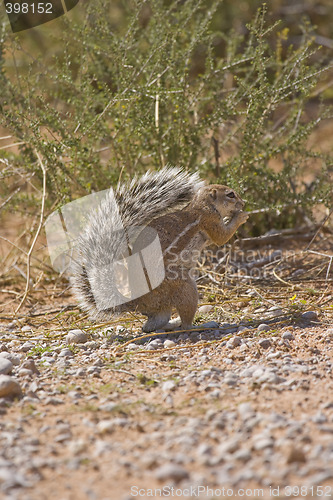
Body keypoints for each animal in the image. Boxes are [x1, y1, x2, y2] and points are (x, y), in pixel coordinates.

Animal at [71, 168, 248, 332]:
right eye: (230, 194)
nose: (243, 203)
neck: (201, 204)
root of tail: (137, 303)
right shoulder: (209, 219)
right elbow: (222, 237)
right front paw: (240, 216)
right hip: (183, 286)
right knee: (185, 324)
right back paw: (200, 325)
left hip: (163, 305)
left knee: (153, 324)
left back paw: (171, 323)